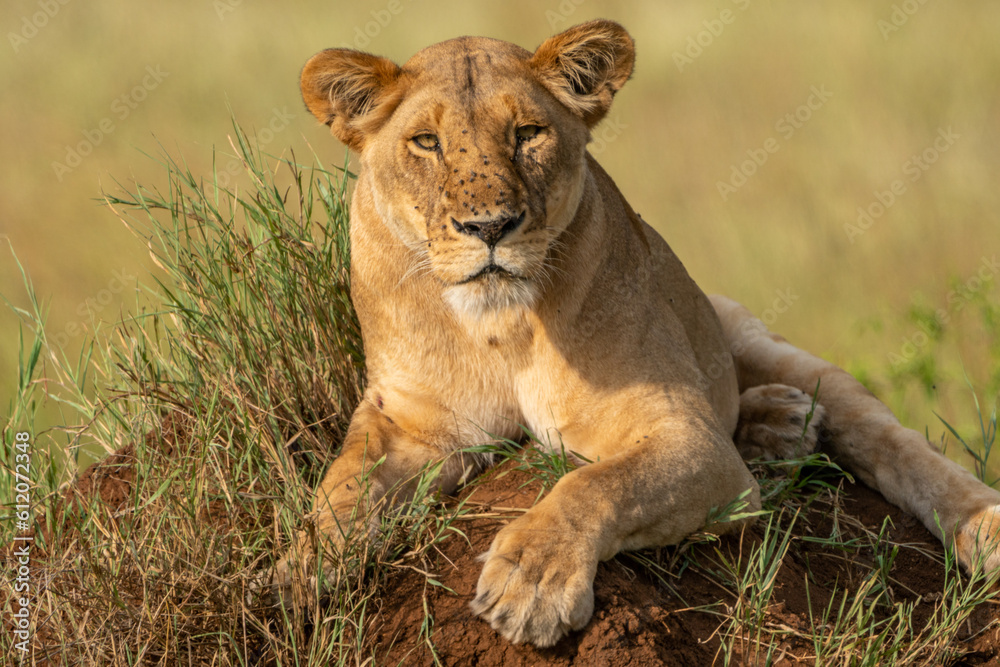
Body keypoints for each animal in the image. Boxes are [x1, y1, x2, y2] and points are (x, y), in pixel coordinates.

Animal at [271, 19, 1000, 647]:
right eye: (425, 142)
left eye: (528, 133)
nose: (490, 227)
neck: (499, 325)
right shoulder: (411, 424)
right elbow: (341, 493)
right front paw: (291, 579)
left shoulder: (687, 439)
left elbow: (594, 484)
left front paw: (531, 581)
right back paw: (779, 424)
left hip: (756, 335)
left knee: (885, 438)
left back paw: (972, 523)